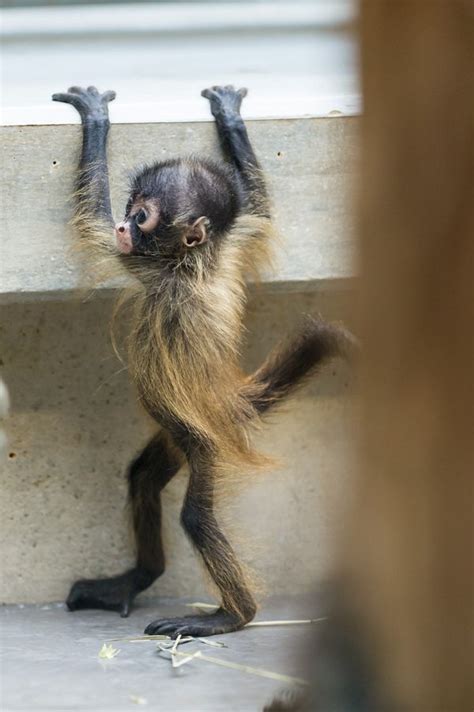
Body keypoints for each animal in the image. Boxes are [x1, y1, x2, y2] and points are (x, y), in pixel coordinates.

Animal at [52, 85, 356, 640]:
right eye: (130, 207)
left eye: (143, 216)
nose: (125, 224)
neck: (199, 259)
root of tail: (228, 400)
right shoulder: (231, 243)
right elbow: (260, 208)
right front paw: (231, 118)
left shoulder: (149, 264)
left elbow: (88, 220)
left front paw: (96, 117)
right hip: (180, 433)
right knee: (144, 476)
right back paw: (138, 578)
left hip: (206, 443)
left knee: (196, 516)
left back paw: (233, 616)